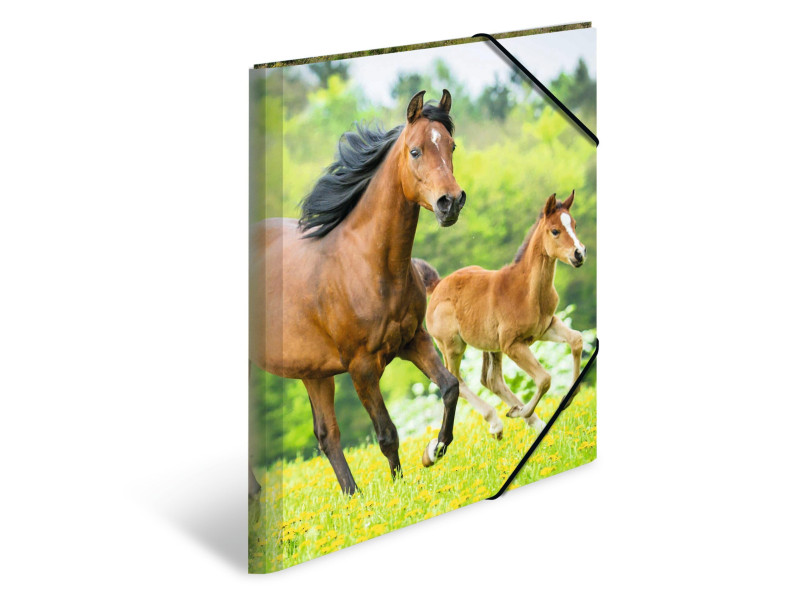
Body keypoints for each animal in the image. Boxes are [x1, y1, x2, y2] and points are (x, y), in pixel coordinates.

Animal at [250, 90, 466, 496]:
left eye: (451, 145)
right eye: (415, 151)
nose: (451, 202)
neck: (369, 265)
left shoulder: (413, 340)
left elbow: (449, 387)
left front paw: (434, 450)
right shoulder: (362, 368)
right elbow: (387, 433)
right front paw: (399, 491)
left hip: (313, 372)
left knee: (326, 434)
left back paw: (353, 497)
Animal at [420, 191, 586, 439]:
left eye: (574, 224)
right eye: (555, 230)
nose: (579, 254)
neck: (527, 290)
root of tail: (437, 286)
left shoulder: (546, 327)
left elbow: (576, 340)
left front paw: (567, 398)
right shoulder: (512, 344)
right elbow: (544, 379)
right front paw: (521, 411)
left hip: (490, 345)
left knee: (491, 380)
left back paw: (533, 422)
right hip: (452, 346)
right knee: (456, 380)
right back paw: (498, 422)